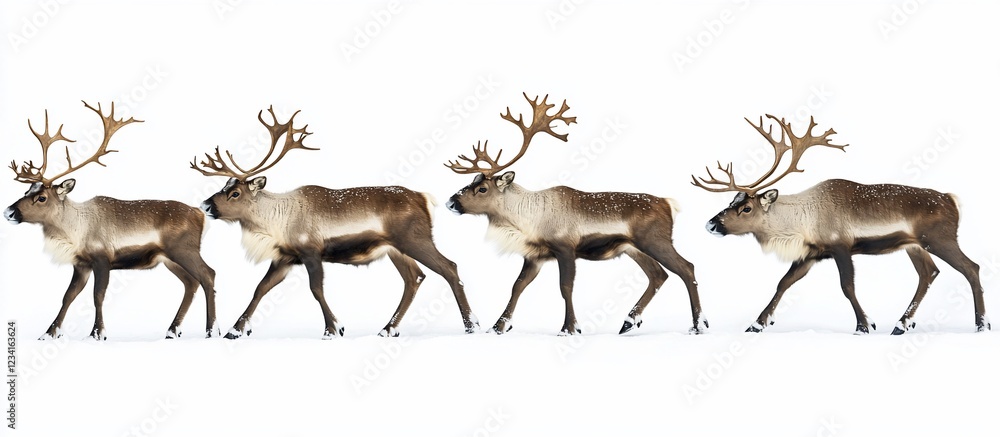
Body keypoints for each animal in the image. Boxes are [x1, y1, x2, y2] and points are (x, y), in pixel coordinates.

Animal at [4, 101, 219, 340]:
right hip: (169, 258)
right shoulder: (81, 265)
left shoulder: (102, 259)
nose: (9, 211)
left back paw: (212, 330)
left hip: (184, 250)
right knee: (191, 283)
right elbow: (67, 296)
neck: (75, 230)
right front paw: (49, 333)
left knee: (208, 275)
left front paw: (97, 333)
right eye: (26, 191)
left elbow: (98, 295)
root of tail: (201, 214)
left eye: (41, 197)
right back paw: (172, 331)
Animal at [191, 106, 479, 339]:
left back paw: (471, 325)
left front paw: (333, 329)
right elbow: (259, 289)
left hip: (415, 239)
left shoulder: (311, 252)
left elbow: (316, 289)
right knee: (414, 278)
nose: (205, 205)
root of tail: (424, 198)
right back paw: (388, 329)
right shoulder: (285, 258)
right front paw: (235, 330)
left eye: (235, 193)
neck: (276, 221)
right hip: (395, 249)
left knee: (449, 267)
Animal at [444, 93, 707, 335]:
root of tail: (669, 203)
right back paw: (629, 322)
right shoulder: (535, 256)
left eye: (482, 188)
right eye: (472, 182)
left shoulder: (565, 248)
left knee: (687, 268)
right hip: (632, 247)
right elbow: (517, 286)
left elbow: (565, 287)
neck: (526, 220)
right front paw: (498, 327)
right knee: (658, 275)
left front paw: (569, 328)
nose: (451, 202)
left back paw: (699, 325)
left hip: (655, 240)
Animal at [692, 114, 988, 334]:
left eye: (746, 208)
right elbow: (783, 283)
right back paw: (901, 325)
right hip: (913, 246)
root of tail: (951, 200)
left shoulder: (840, 247)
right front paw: (757, 323)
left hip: (939, 239)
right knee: (929, 273)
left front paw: (864, 325)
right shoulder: (812, 254)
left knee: (971, 267)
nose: (711, 224)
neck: (801, 220)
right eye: (732, 200)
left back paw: (981, 324)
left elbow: (847, 286)